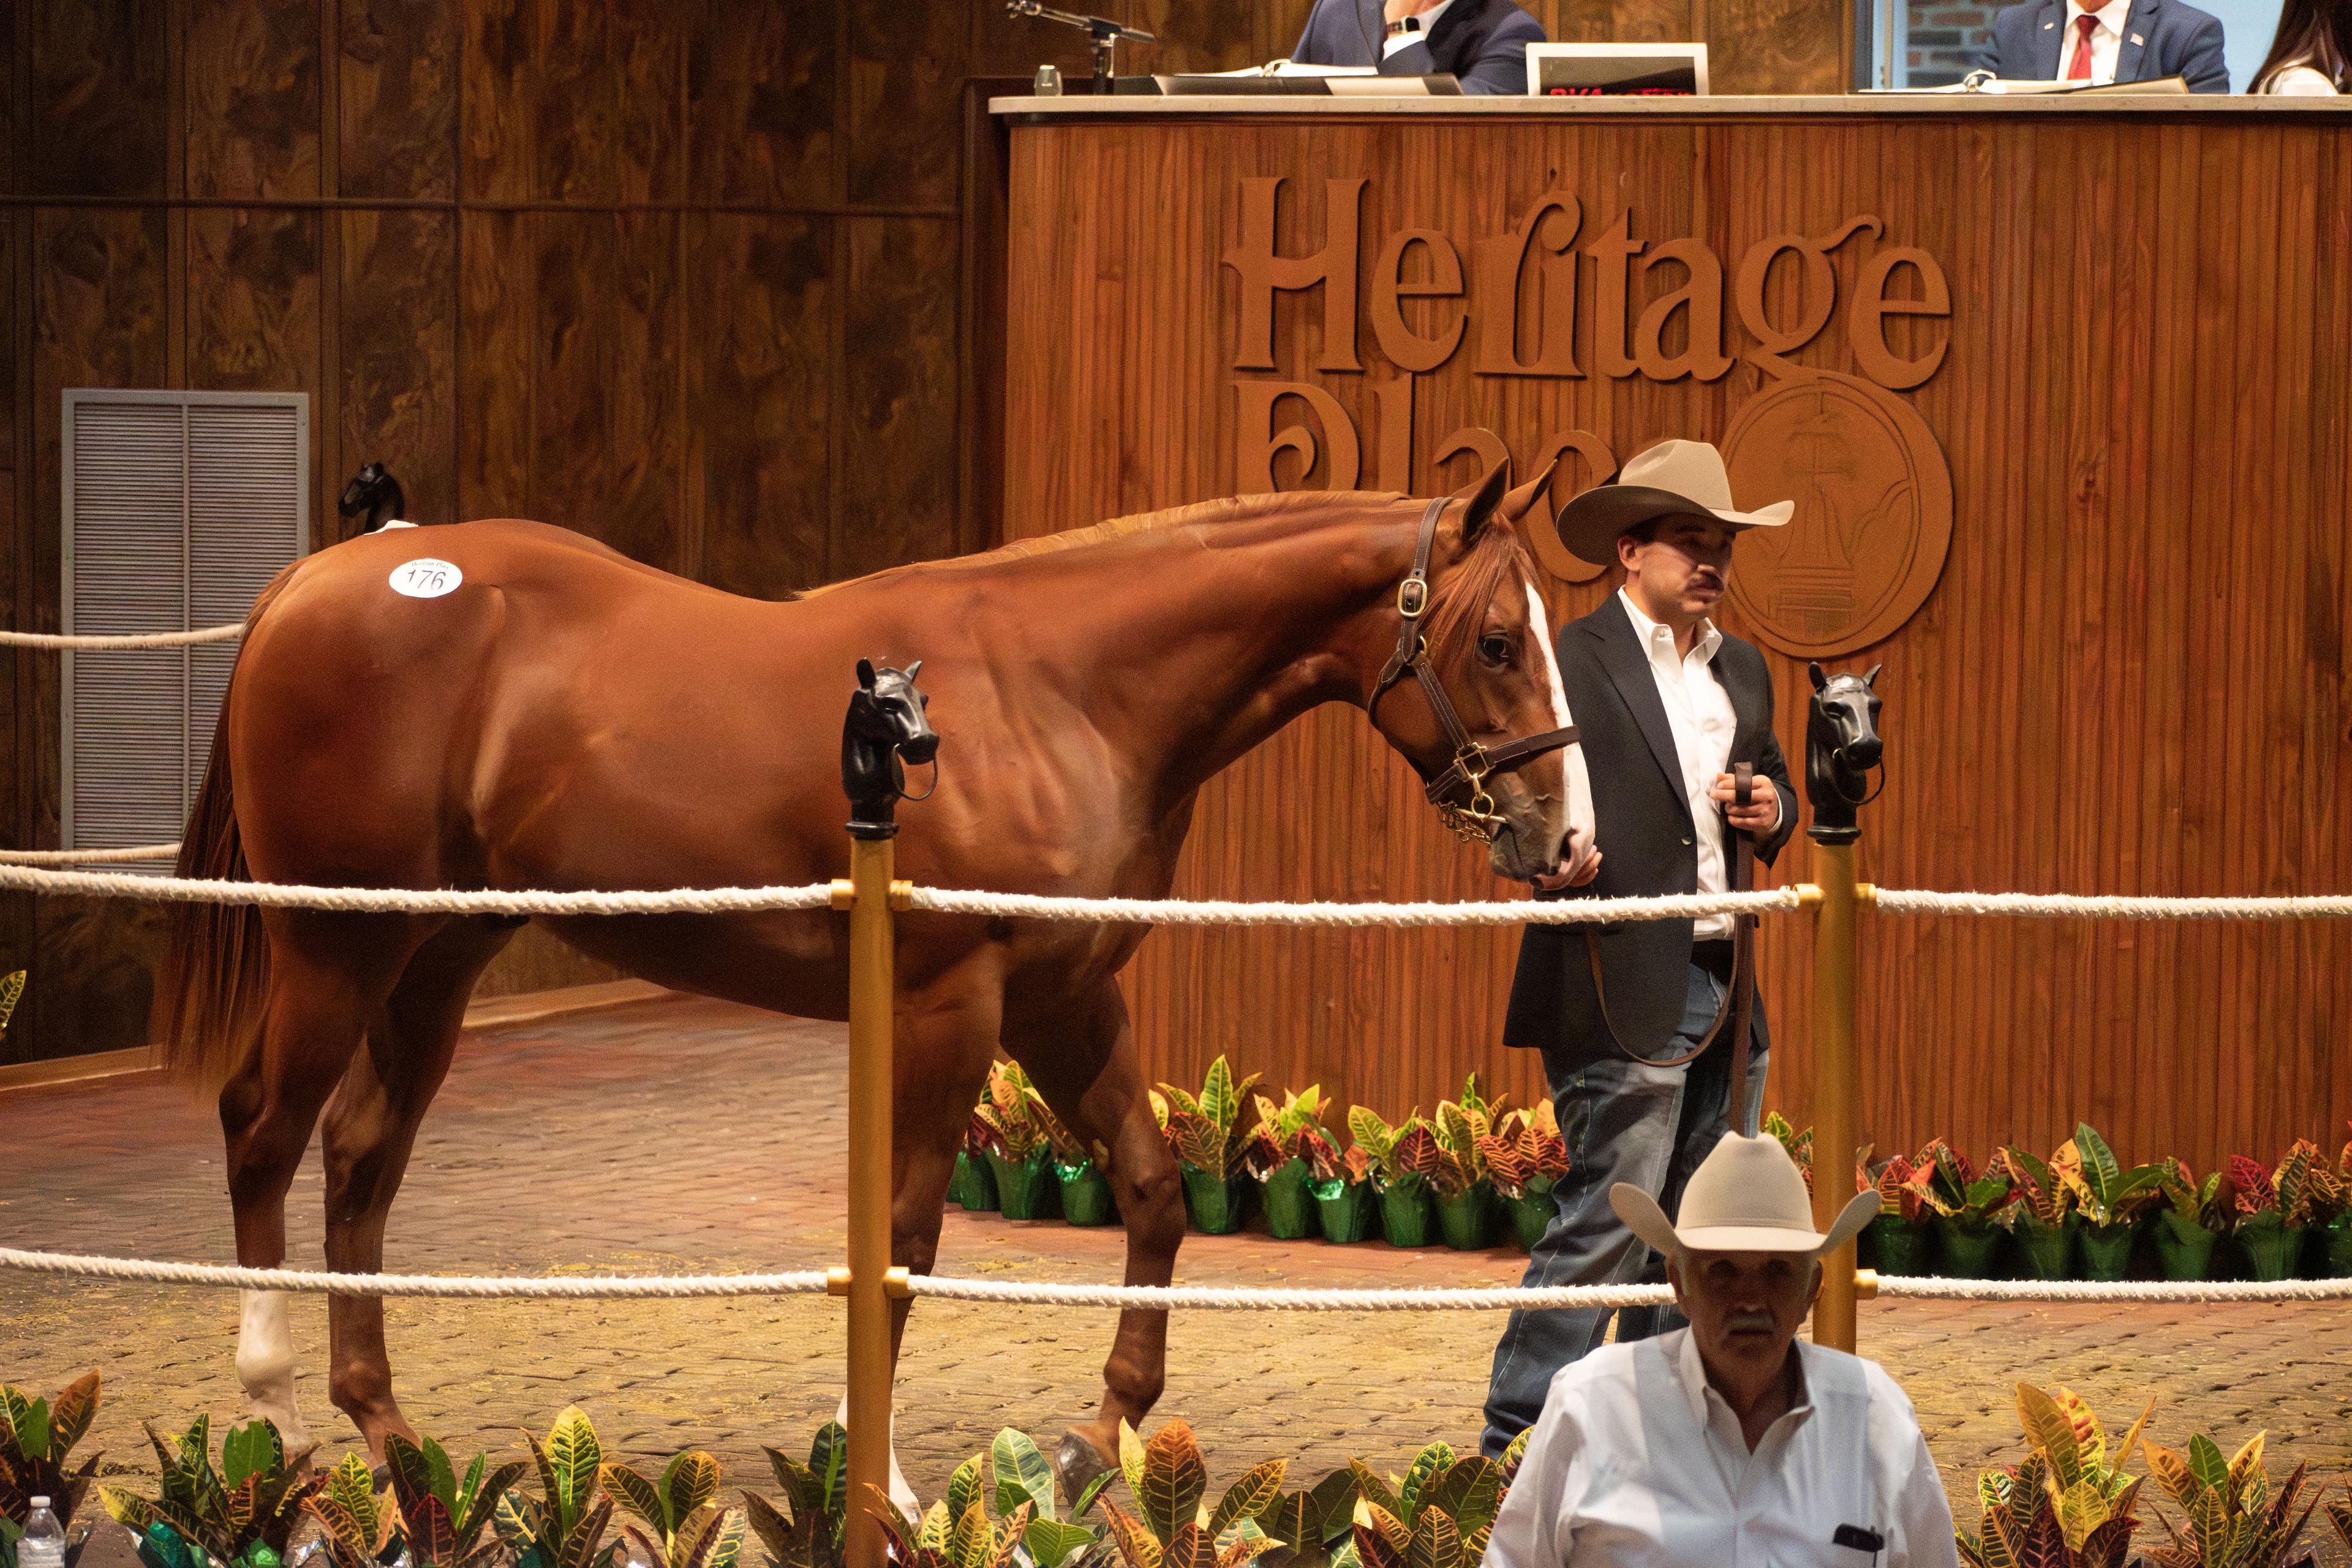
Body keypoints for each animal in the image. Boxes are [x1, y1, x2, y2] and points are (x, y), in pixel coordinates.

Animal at [156, 458, 1597, 1495]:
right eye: (1498, 640)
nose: (1570, 840)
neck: (1058, 690)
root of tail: (314, 582)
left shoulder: (1065, 1000)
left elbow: (1149, 1188)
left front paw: (1099, 1433)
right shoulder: (947, 1007)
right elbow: (903, 1236)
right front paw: (886, 1479)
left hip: (437, 952)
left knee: (361, 1155)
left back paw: (388, 1432)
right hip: (335, 946)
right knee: (262, 1132)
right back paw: (280, 1419)